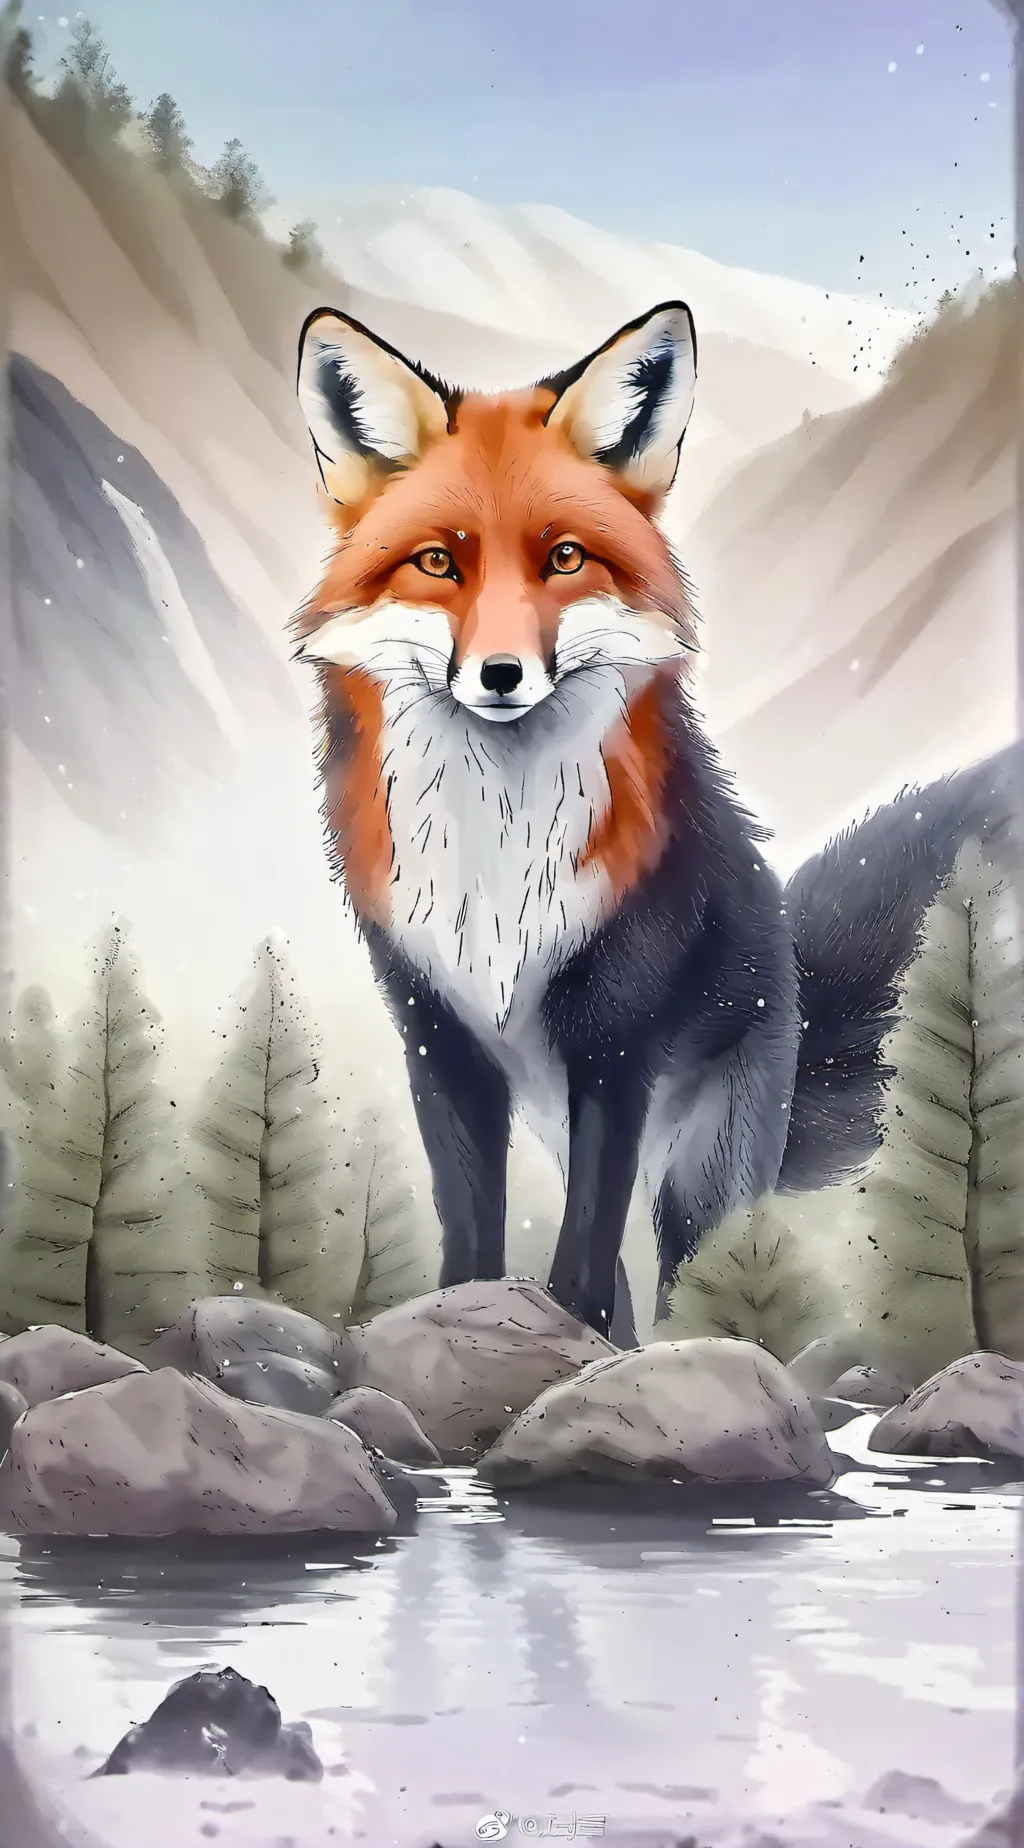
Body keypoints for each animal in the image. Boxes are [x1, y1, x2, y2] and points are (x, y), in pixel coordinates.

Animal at [290, 297, 1023, 1343]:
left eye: (563, 558)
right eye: (438, 563)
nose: (501, 675)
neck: (495, 857)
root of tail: (793, 989)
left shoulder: (615, 1043)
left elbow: (584, 1256)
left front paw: (571, 1343)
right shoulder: (439, 1037)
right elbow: (472, 1228)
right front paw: (463, 1321)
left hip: (697, 1176)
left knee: (697, 1278)